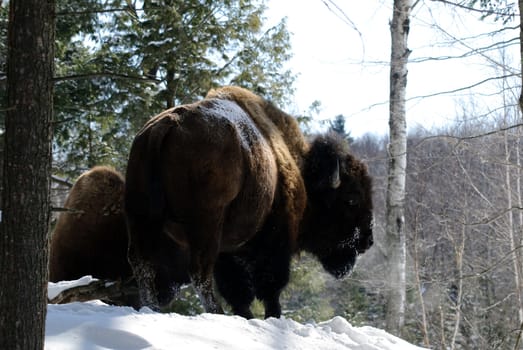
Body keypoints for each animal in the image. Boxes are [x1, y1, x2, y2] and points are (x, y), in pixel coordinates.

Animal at [125, 85, 374, 318]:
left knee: (143, 264)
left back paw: (152, 309)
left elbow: (239, 291)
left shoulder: (231, 250)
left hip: (141, 217)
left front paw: (245, 315)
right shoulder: (273, 242)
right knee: (199, 271)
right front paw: (271, 316)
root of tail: (168, 124)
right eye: (351, 200)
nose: (367, 241)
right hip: (205, 224)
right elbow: (269, 288)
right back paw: (215, 312)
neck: (303, 171)